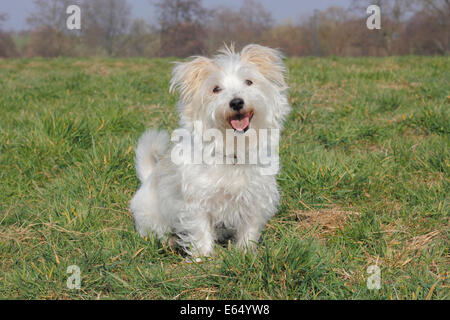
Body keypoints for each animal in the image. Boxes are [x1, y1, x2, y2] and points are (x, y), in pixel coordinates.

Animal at [130, 43, 292, 256]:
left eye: (249, 82)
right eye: (216, 89)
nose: (236, 102)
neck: (233, 149)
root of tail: (147, 178)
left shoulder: (255, 199)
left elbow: (249, 229)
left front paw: (245, 254)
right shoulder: (196, 202)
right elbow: (200, 231)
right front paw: (203, 258)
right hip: (151, 214)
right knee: (155, 232)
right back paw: (170, 241)